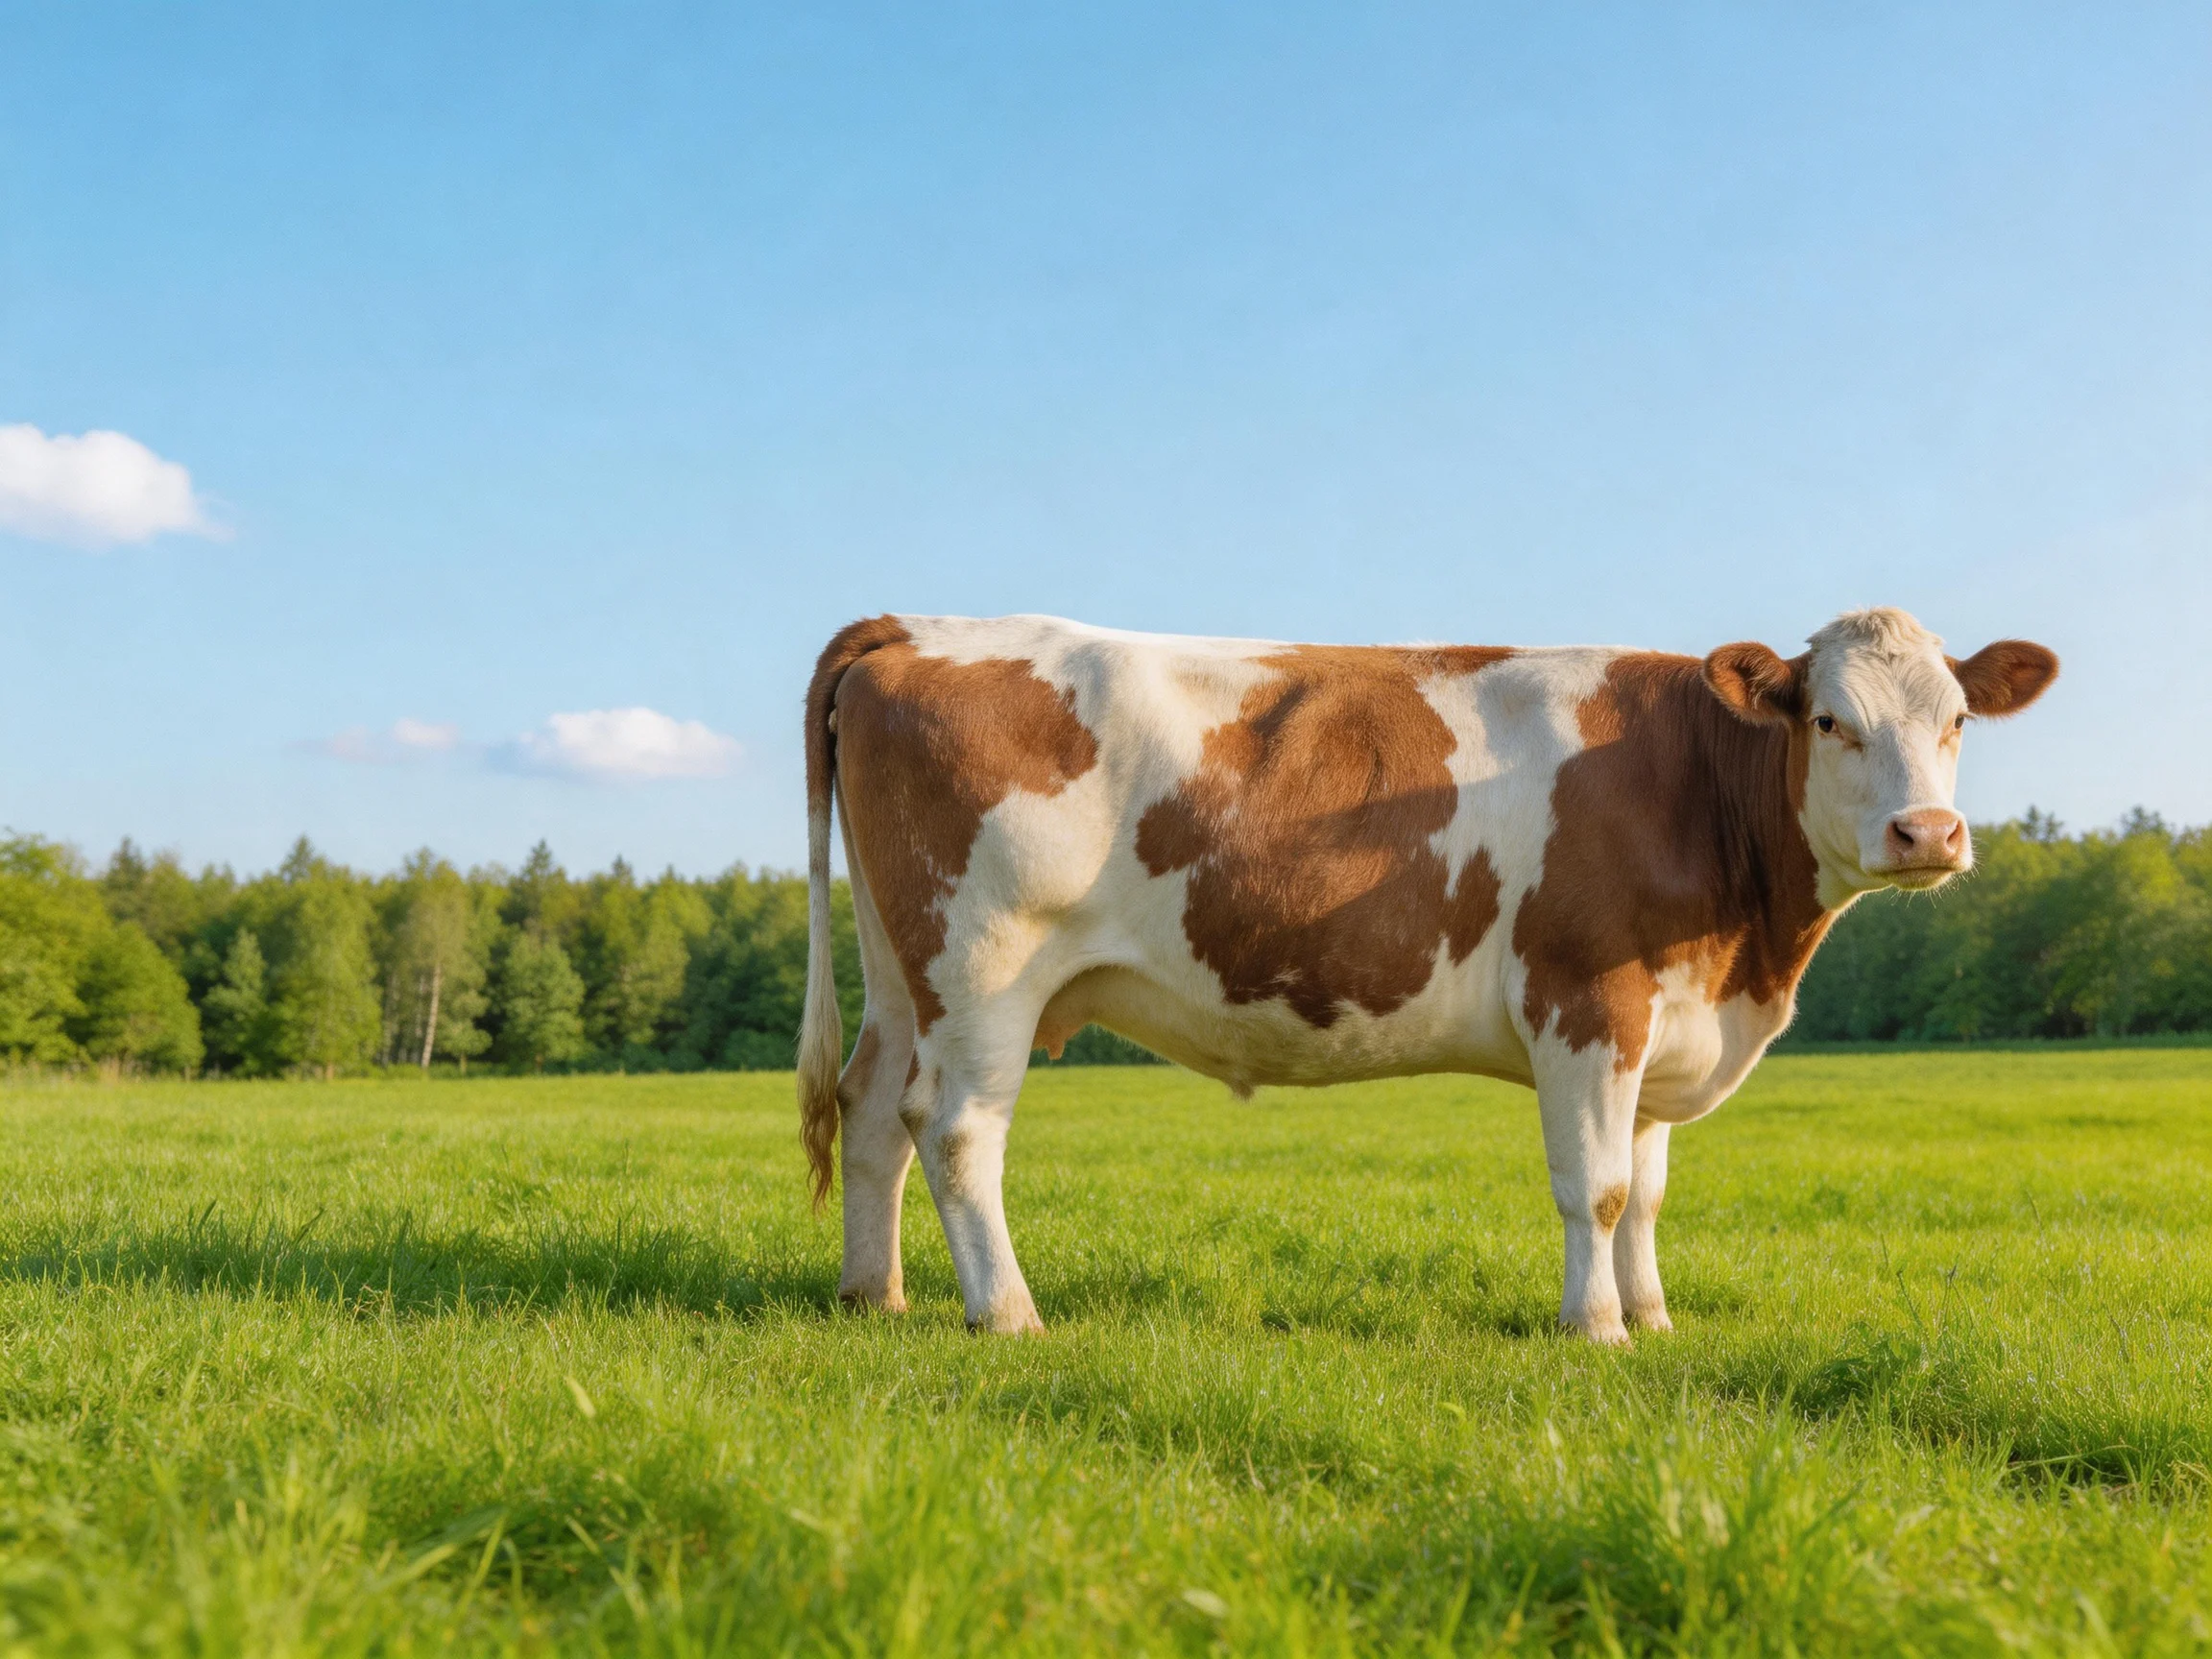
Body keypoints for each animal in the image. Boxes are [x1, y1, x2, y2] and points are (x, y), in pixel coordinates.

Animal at [796, 608, 2057, 1341]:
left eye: (1958, 718)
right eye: (1832, 720)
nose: (1928, 834)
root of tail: (923, 626)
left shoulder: (1667, 1021)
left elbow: (1647, 1189)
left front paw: (1653, 1319)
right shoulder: (1586, 1002)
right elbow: (1596, 1187)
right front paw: (1595, 1330)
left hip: (904, 969)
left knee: (872, 1108)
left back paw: (874, 1294)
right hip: (984, 965)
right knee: (957, 1130)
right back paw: (1008, 1316)